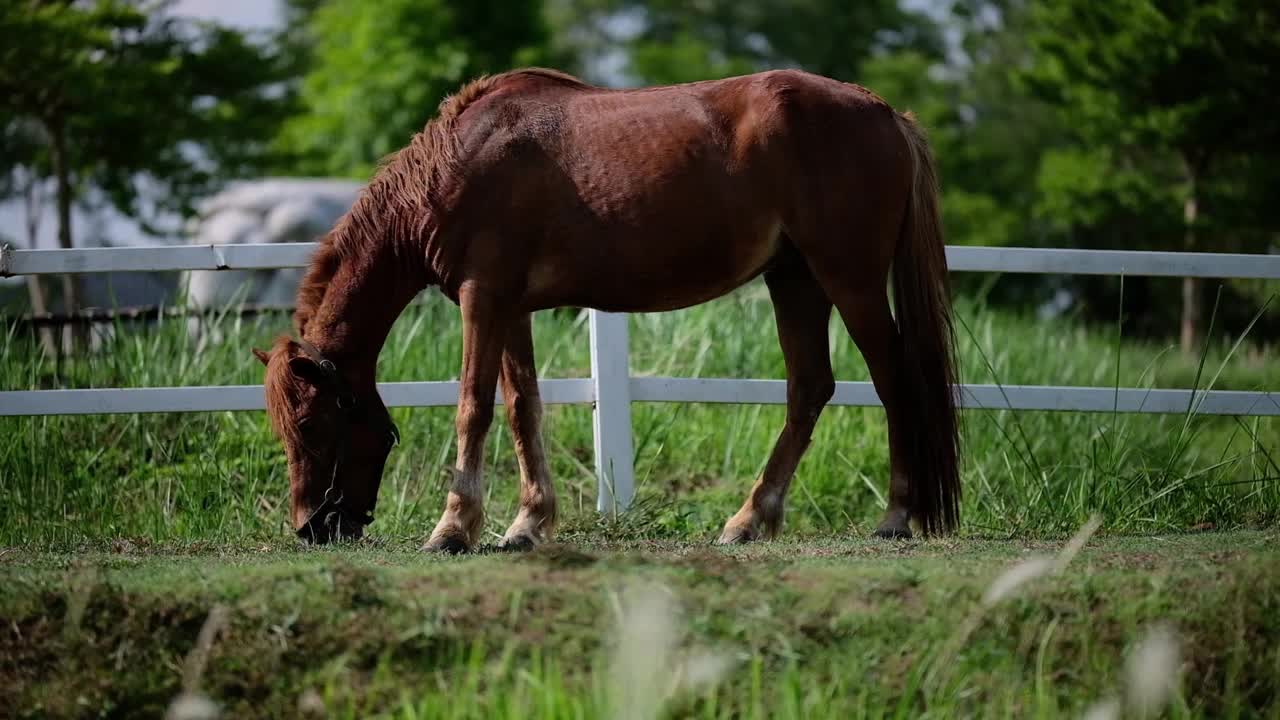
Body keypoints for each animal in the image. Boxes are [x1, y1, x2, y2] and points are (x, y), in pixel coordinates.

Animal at [249, 67, 957, 548]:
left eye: (311, 425)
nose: (312, 527)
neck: (458, 164)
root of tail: (884, 112)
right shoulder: (511, 308)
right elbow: (523, 407)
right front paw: (527, 523)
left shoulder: (482, 299)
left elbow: (473, 405)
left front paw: (453, 528)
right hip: (795, 280)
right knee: (809, 388)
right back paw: (749, 519)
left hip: (849, 280)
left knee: (893, 381)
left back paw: (895, 516)